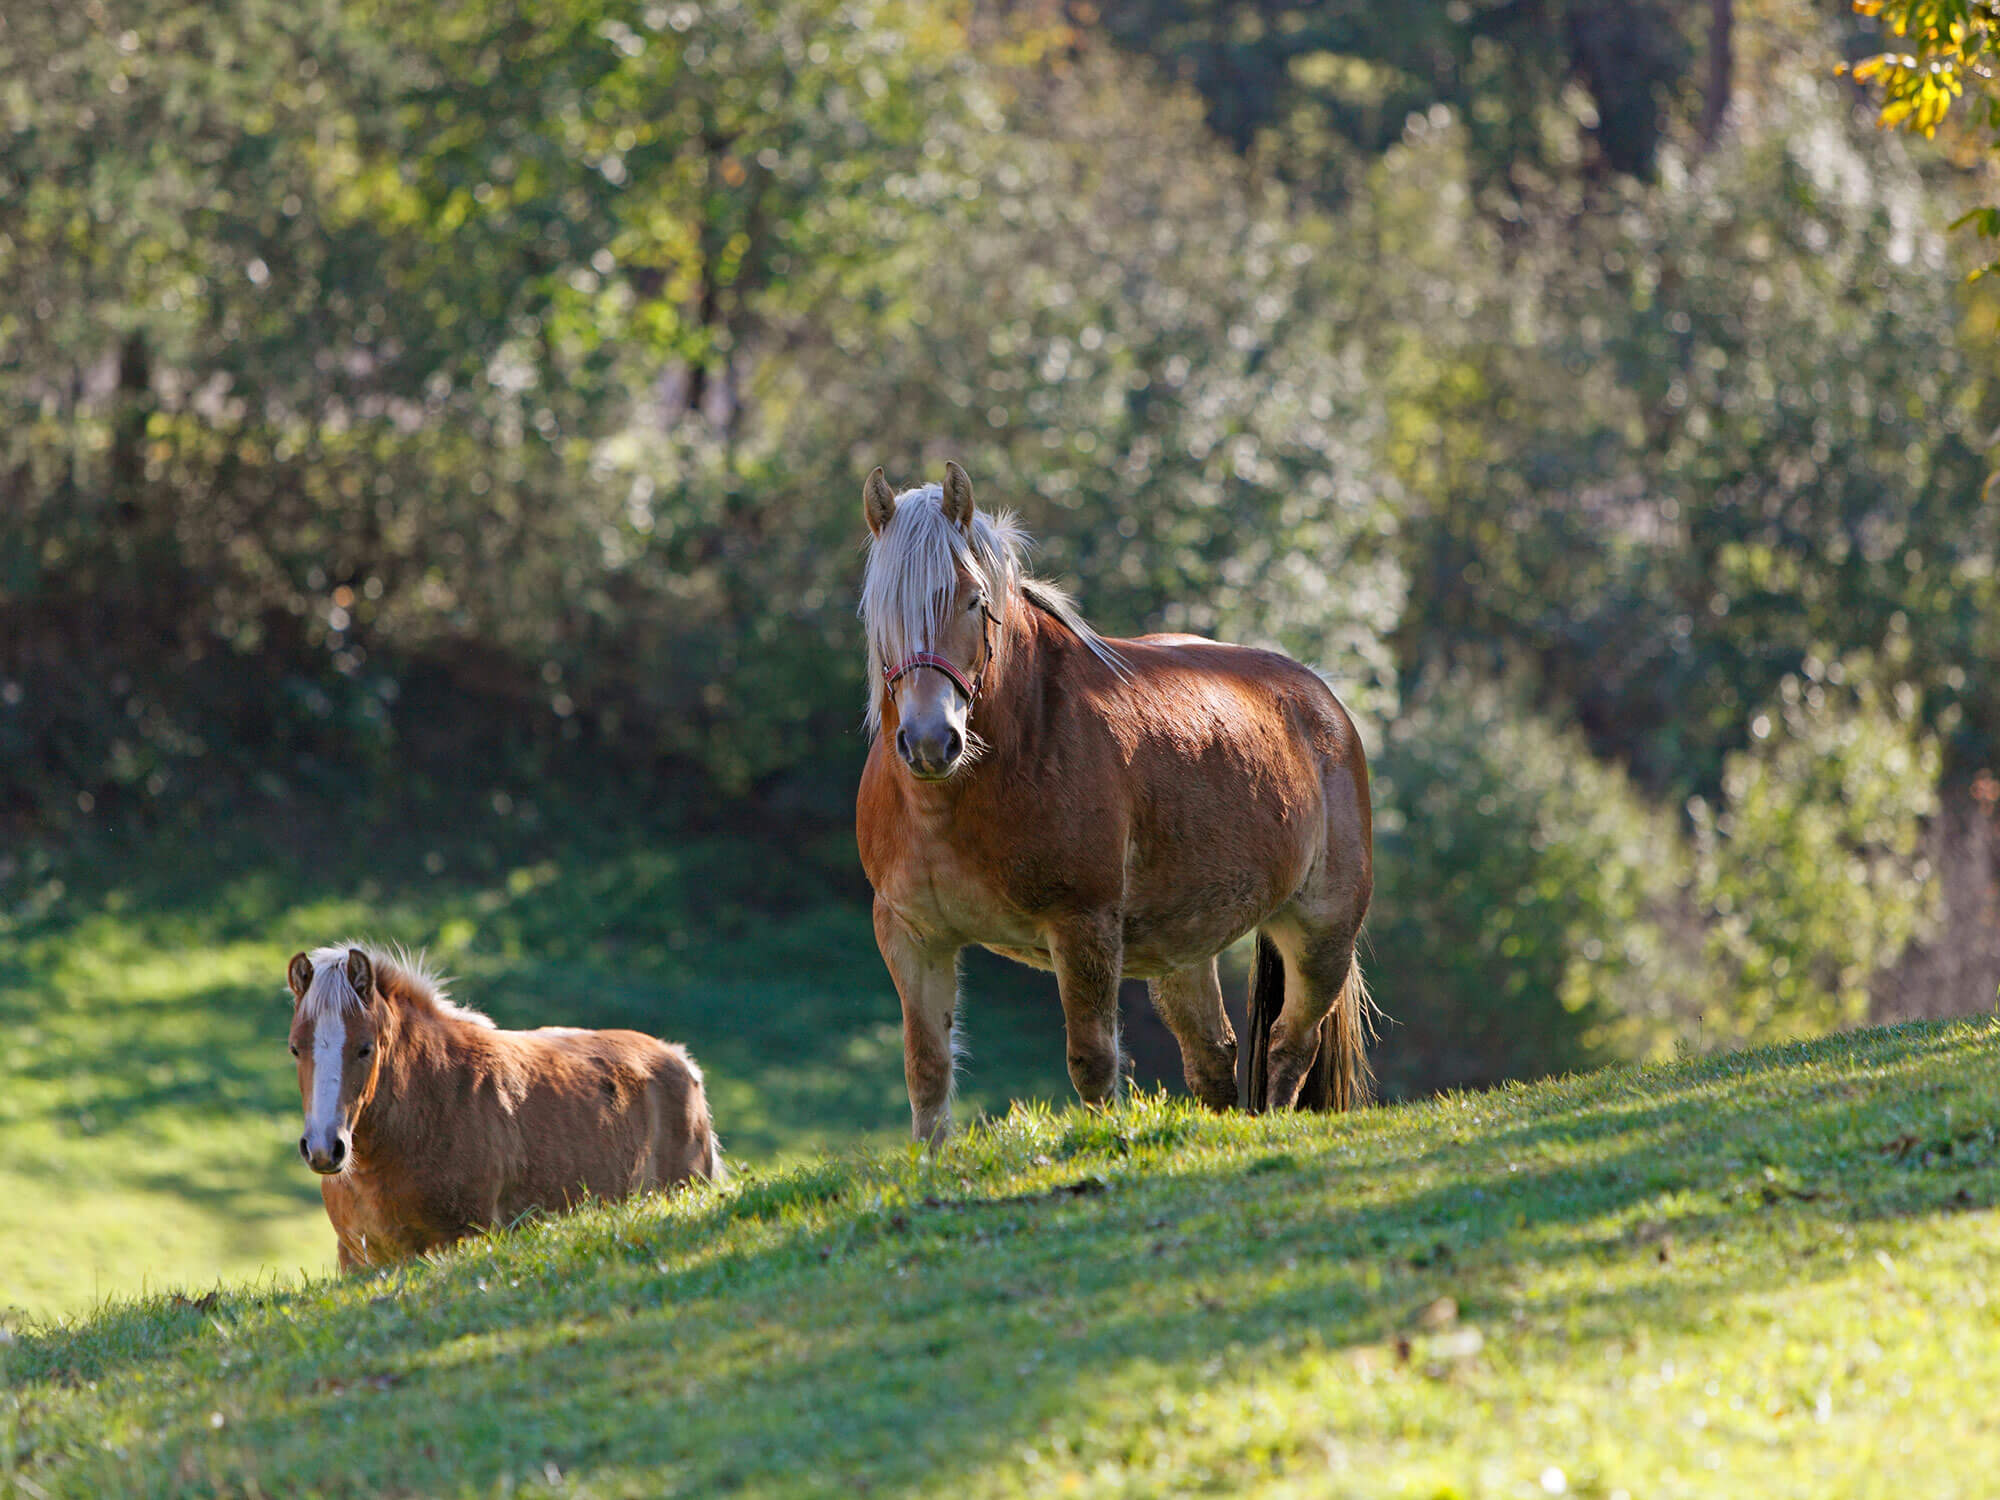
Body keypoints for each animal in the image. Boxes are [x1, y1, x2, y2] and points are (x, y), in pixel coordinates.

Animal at [285, 944, 723, 1270]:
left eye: (365, 1048)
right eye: (295, 1048)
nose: (324, 1148)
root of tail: (680, 1060)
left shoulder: (460, 1239)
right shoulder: (359, 1261)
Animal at [854, 463, 1375, 1146]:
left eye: (972, 599)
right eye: (879, 609)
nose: (929, 742)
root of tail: (1324, 702)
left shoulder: (1083, 927)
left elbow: (1093, 1064)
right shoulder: (912, 935)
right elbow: (927, 1073)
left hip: (1320, 932)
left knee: (1291, 1044)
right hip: (1185, 949)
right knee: (1214, 1055)